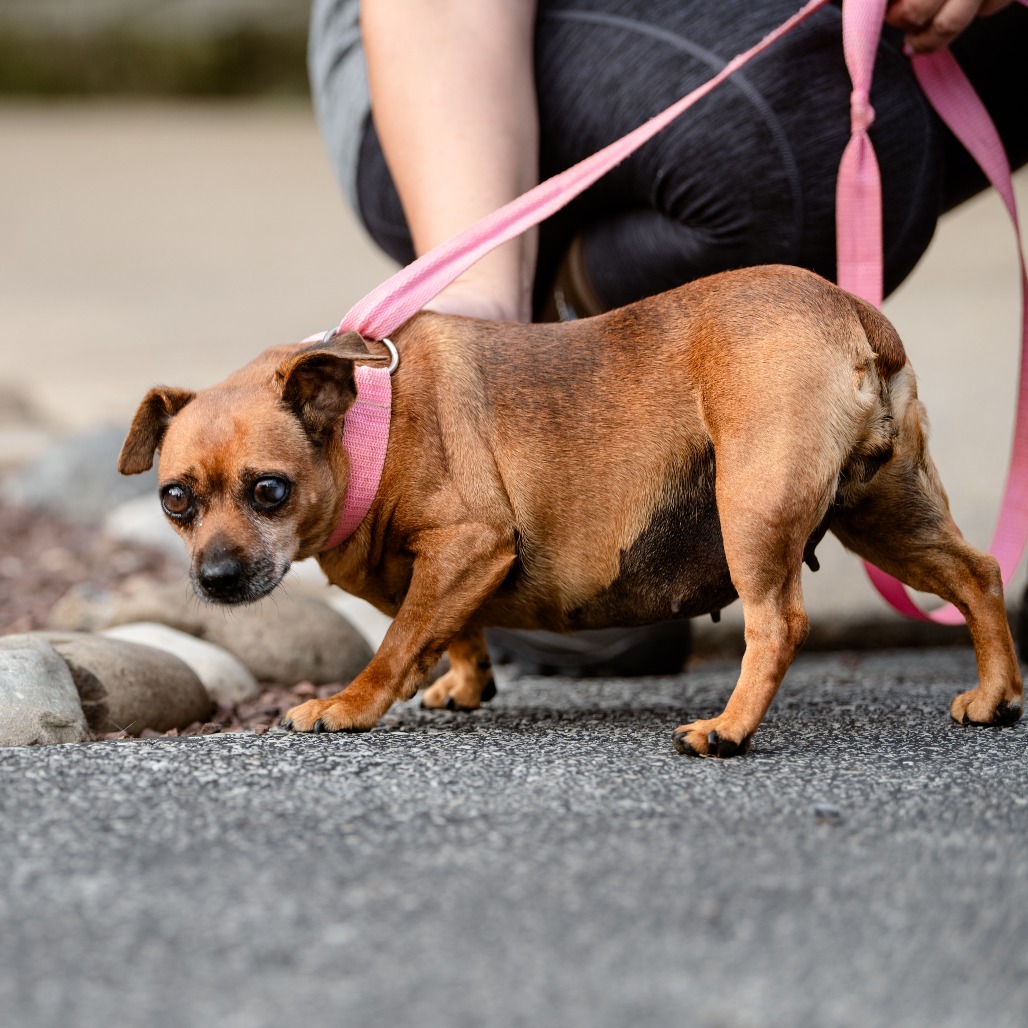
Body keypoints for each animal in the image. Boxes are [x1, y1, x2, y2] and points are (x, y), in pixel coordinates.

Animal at [118, 265, 1023, 756]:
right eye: (176, 500)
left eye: (269, 490)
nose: (216, 578)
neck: (367, 423)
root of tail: (850, 310)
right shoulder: (457, 567)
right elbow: (453, 629)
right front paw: (464, 682)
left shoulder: (470, 542)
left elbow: (401, 638)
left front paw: (349, 704)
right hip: (883, 515)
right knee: (977, 575)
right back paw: (997, 694)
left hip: (753, 511)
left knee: (778, 625)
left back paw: (728, 729)